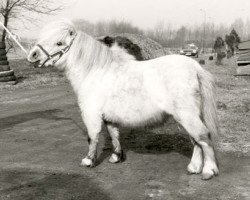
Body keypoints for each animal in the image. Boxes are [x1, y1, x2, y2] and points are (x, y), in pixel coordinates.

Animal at [26, 19, 219, 180]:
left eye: (59, 43)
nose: (32, 55)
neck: (95, 71)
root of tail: (195, 68)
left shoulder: (91, 114)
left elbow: (92, 136)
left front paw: (88, 161)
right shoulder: (109, 117)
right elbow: (114, 135)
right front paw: (116, 157)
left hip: (186, 115)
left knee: (203, 137)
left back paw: (208, 171)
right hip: (187, 116)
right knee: (196, 140)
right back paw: (194, 167)